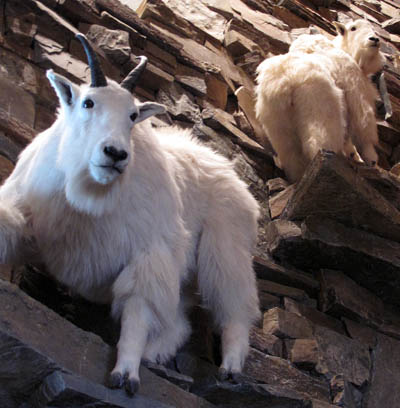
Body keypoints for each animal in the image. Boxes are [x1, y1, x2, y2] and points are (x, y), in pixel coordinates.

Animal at [0, 34, 260, 396]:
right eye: (88, 103)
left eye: (133, 114)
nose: (115, 154)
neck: (89, 199)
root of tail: (231, 173)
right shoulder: (22, 214)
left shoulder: (148, 255)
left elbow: (137, 314)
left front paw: (125, 374)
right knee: (180, 321)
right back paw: (156, 353)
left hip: (225, 248)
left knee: (235, 306)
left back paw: (230, 366)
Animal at [256, 19, 384, 182]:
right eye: (353, 28)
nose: (374, 39)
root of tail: (283, 83)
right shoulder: (354, 85)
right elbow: (363, 123)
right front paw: (370, 159)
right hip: (319, 109)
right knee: (319, 142)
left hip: (277, 124)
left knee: (292, 157)